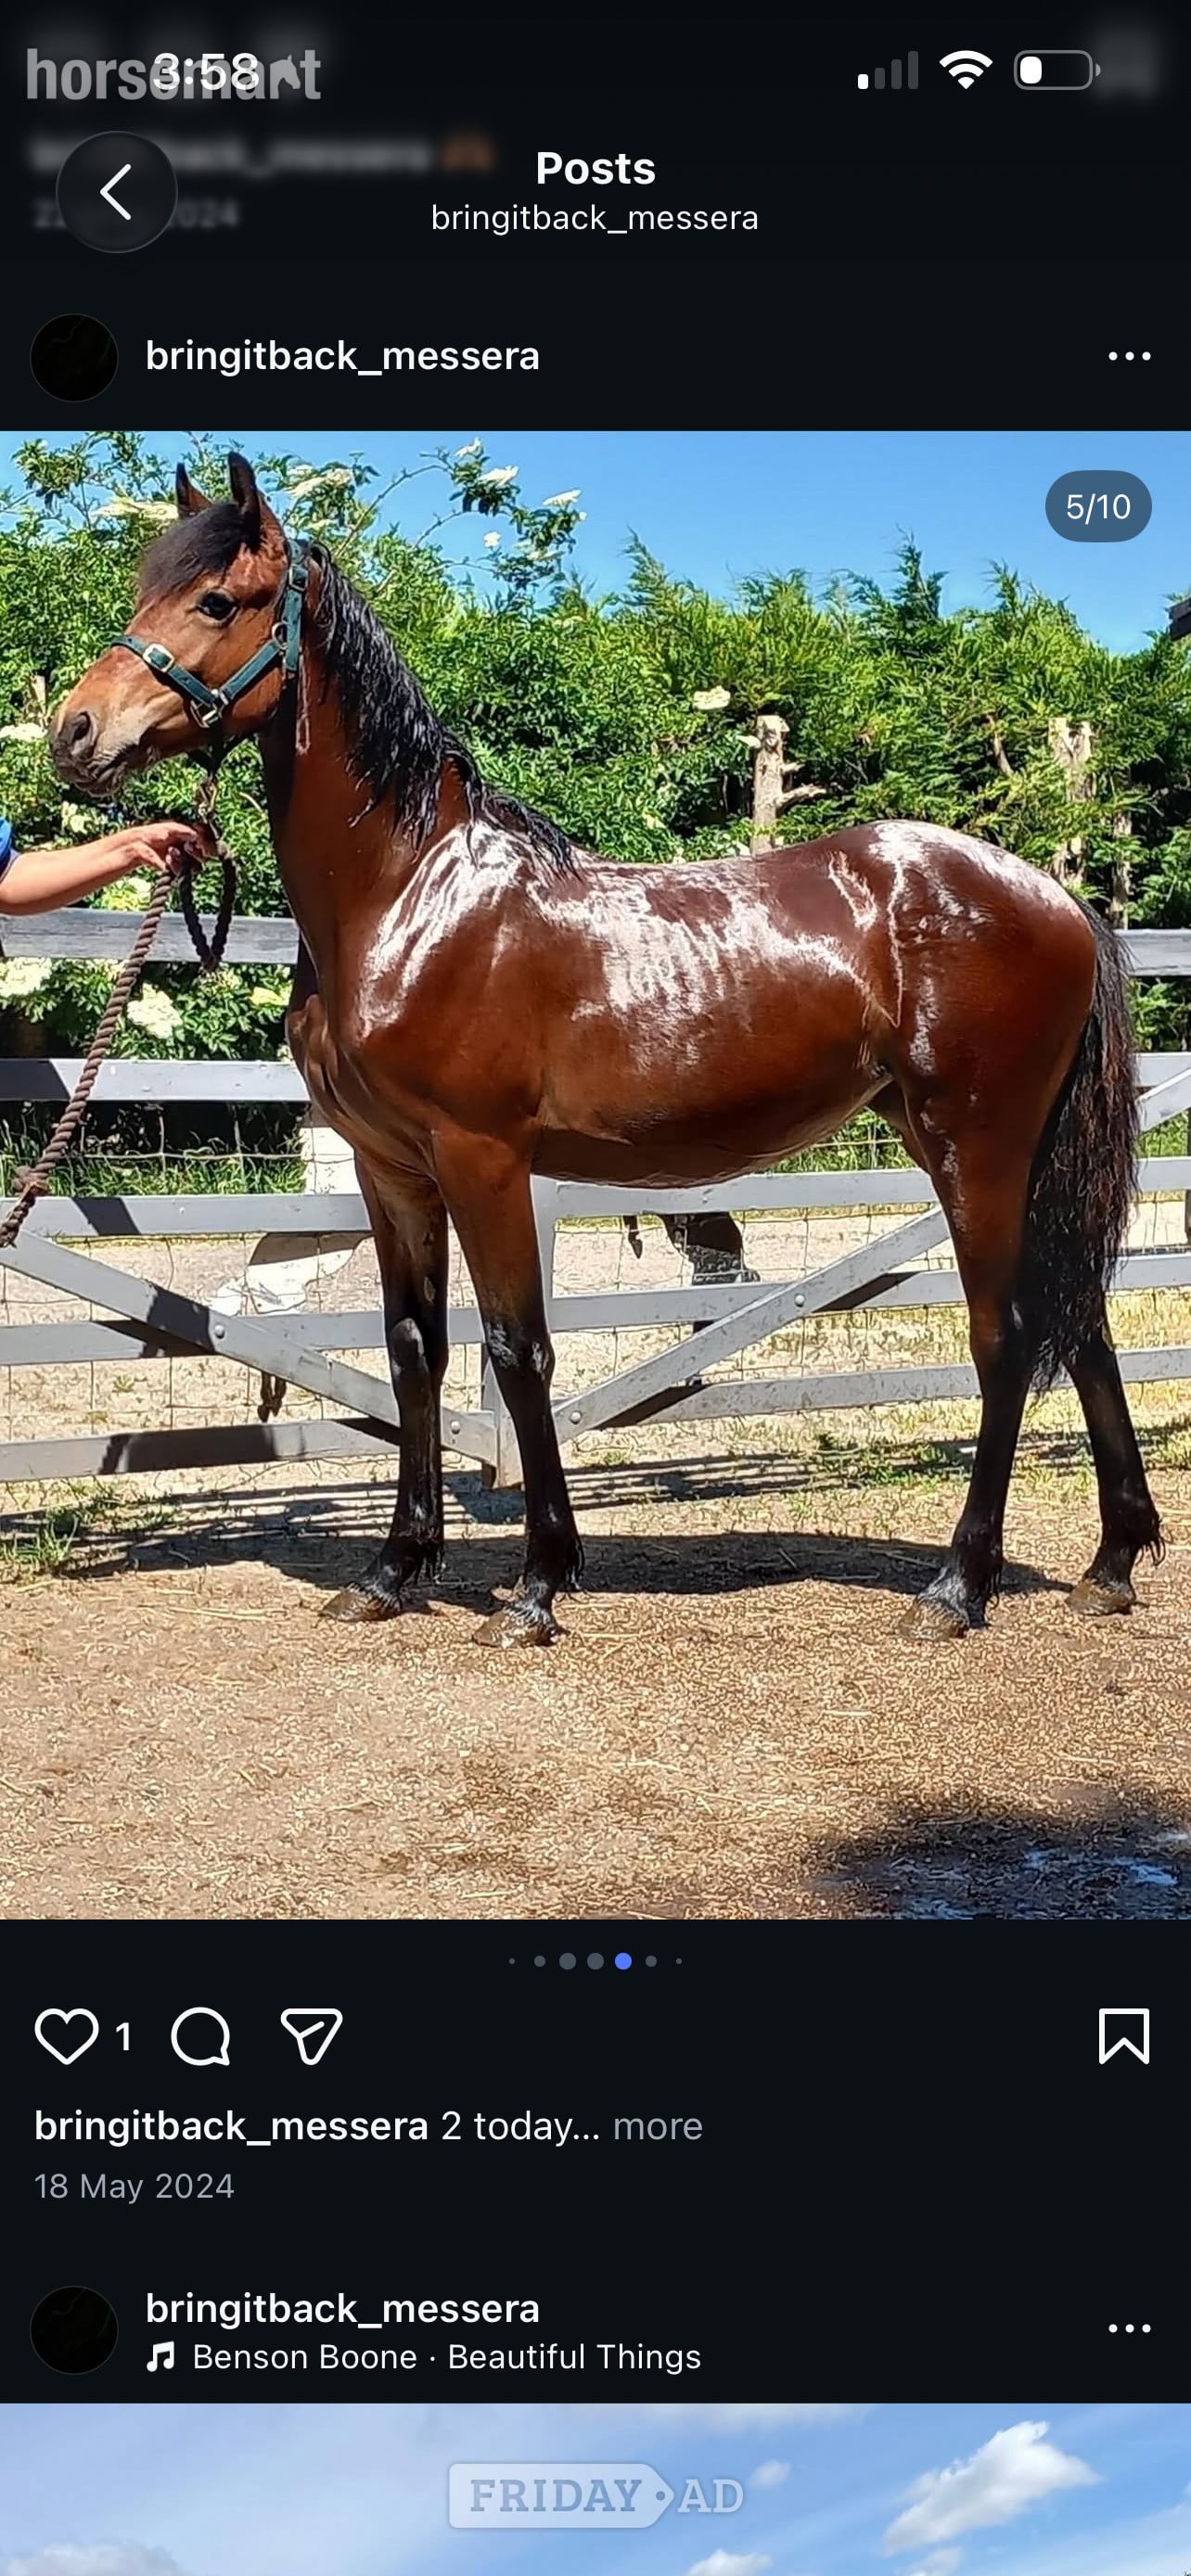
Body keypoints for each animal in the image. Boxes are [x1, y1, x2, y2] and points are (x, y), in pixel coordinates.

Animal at [50, 452, 1162, 1646]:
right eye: (145, 593)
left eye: (216, 601)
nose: (74, 732)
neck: (410, 898)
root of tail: (1055, 898)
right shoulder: (392, 1170)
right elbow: (412, 1351)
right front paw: (393, 1572)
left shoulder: (483, 1159)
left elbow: (516, 1351)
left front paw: (537, 1585)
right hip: (998, 1151)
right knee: (1082, 1323)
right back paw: (1111, 1562)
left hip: (976, 1149)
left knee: (1008, 1334)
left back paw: (957, 1587)